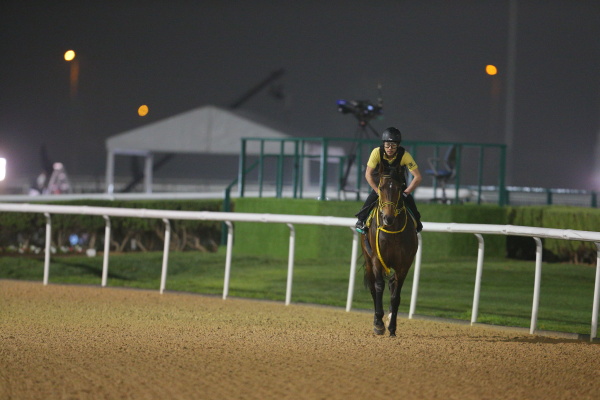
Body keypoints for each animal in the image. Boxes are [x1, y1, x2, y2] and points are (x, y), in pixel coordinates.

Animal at [360, 170, 418, 336]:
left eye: (399, 188)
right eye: (381, 188)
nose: (388, 217)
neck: (392, 232)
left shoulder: (404, 264)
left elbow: (396, 296)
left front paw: (392, 327)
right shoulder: (376, 260)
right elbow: (379, 287)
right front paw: (379, 323)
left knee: (392, 283)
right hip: (368, 261)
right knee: (373, 288)